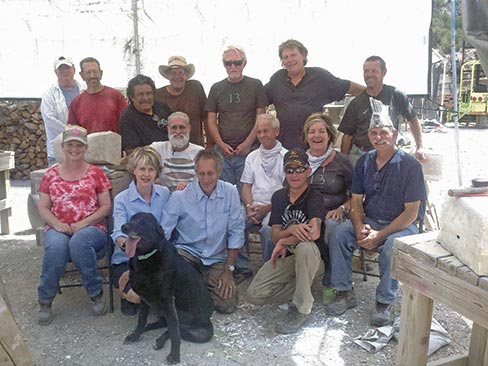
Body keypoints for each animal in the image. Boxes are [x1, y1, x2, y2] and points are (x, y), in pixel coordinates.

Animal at [121, 212, 213, 364]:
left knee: (174, 330)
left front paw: (175, 355)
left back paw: (160, 341)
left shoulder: (167, 300)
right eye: (132, 218)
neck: (146, 258)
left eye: (145, 222)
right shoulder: (143, 298)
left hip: (201, 333)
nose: (124, 226)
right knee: (162, 325)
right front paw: (135, 335)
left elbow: (175, 333)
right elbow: (141, 320)